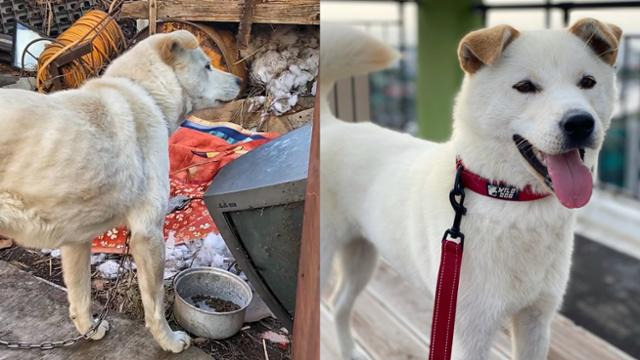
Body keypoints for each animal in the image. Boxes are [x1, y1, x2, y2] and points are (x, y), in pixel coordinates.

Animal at [0, 31, 240, 352]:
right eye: (207, 66)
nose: (239, 81)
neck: (144, 92)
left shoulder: (76, 241)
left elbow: (81, 297)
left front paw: (89, 331)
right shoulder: (148, 233)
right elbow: (155, 304)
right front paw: (169, 341)